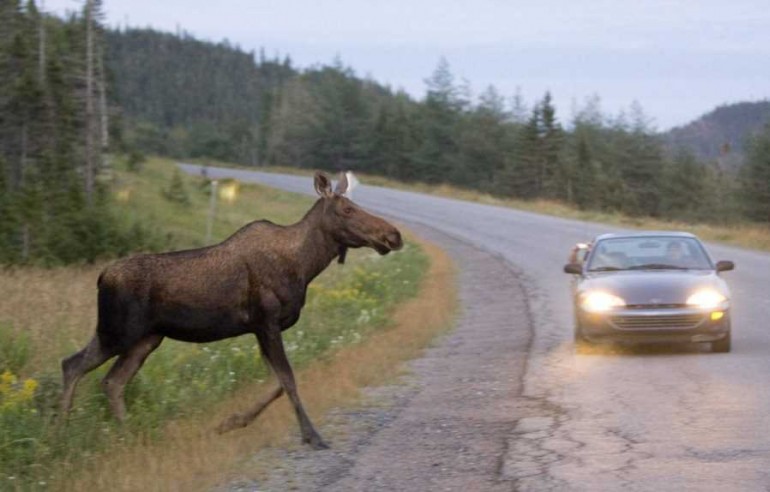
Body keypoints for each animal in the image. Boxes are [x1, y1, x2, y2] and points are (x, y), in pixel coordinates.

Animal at [60, 171, 402, 448]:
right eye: (347, 209)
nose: (394, 235)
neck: (305, 266)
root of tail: (101, 277)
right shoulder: (266, 321)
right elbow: (288, 379)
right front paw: (312, 435)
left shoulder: (260, 329)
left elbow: (277, 383)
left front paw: (230, 423)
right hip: (119, 331)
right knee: (73, 365)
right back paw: (62, 431)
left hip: (145, 338)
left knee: (112, 381)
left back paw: (127, 434)